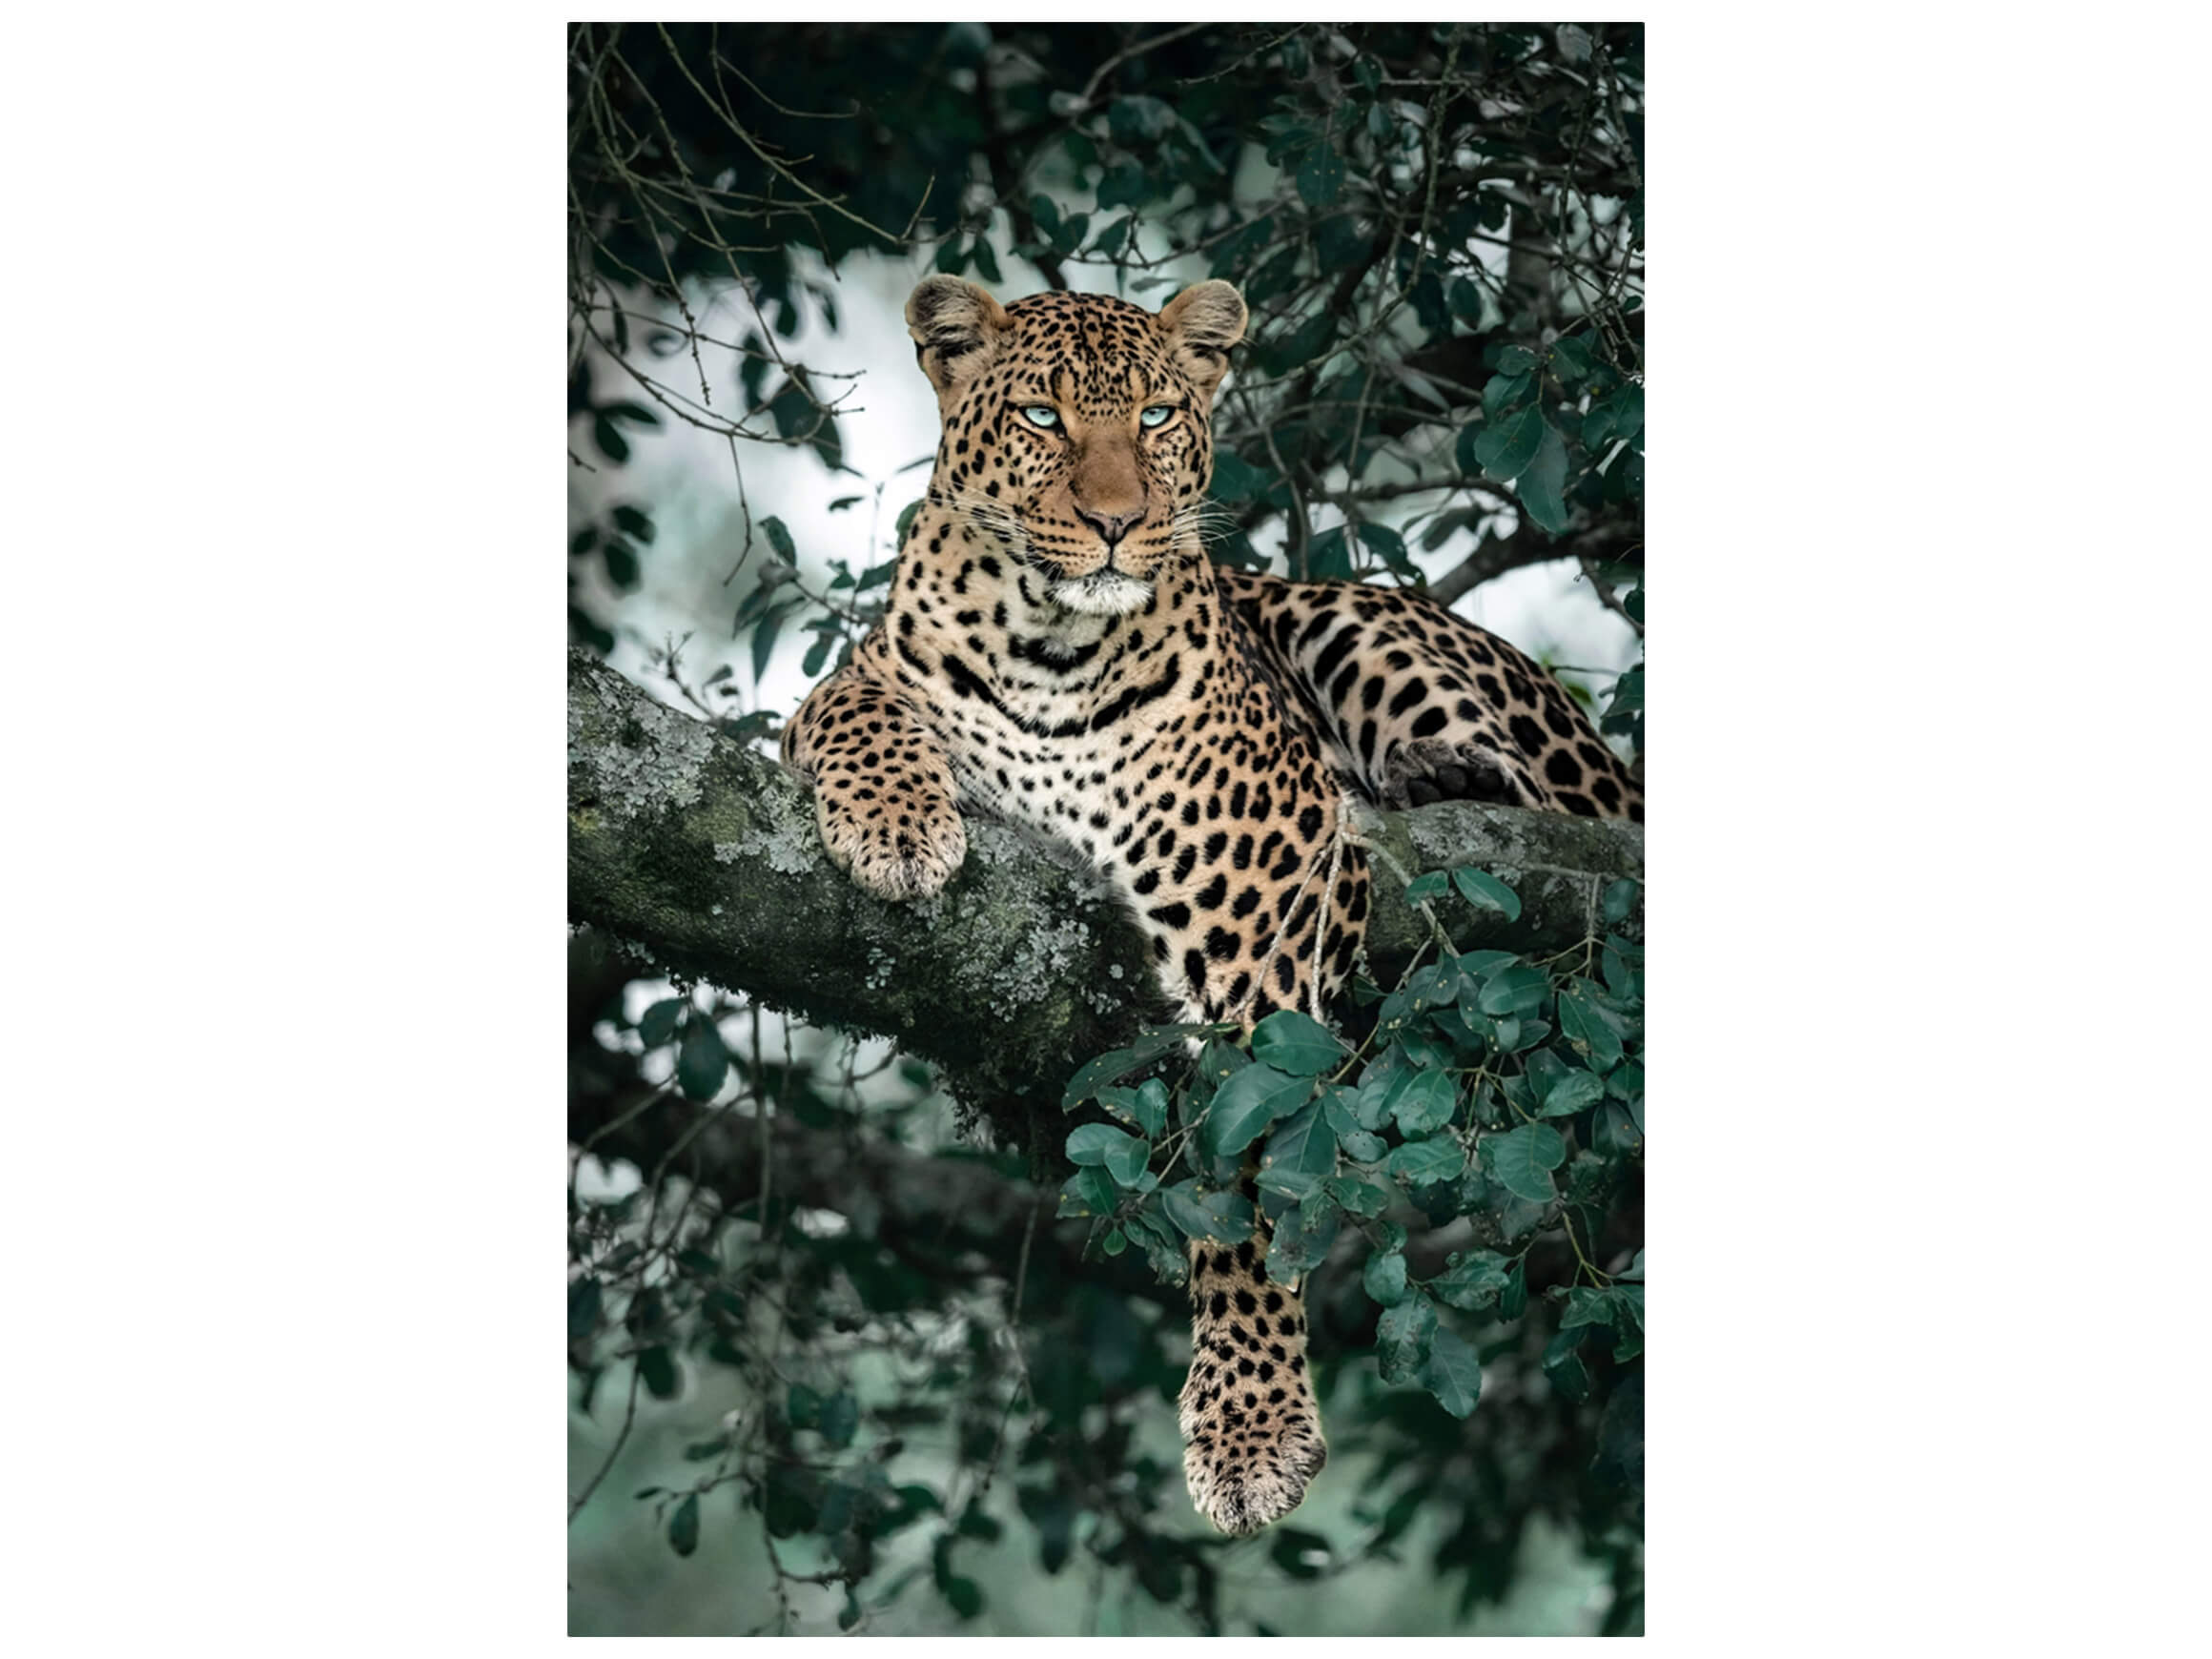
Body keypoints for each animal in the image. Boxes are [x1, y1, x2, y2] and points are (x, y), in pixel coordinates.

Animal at [781, 275, 1642, 1537]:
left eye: (1152, 417)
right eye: (1040, 417)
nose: (1114, 522)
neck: (1051, 648)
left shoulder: (1263, 917)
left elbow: (1246, 1181)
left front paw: (1251, 1428)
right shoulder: (856, 683)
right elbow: (857, 708)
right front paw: (896, 829)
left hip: (1364, 632)